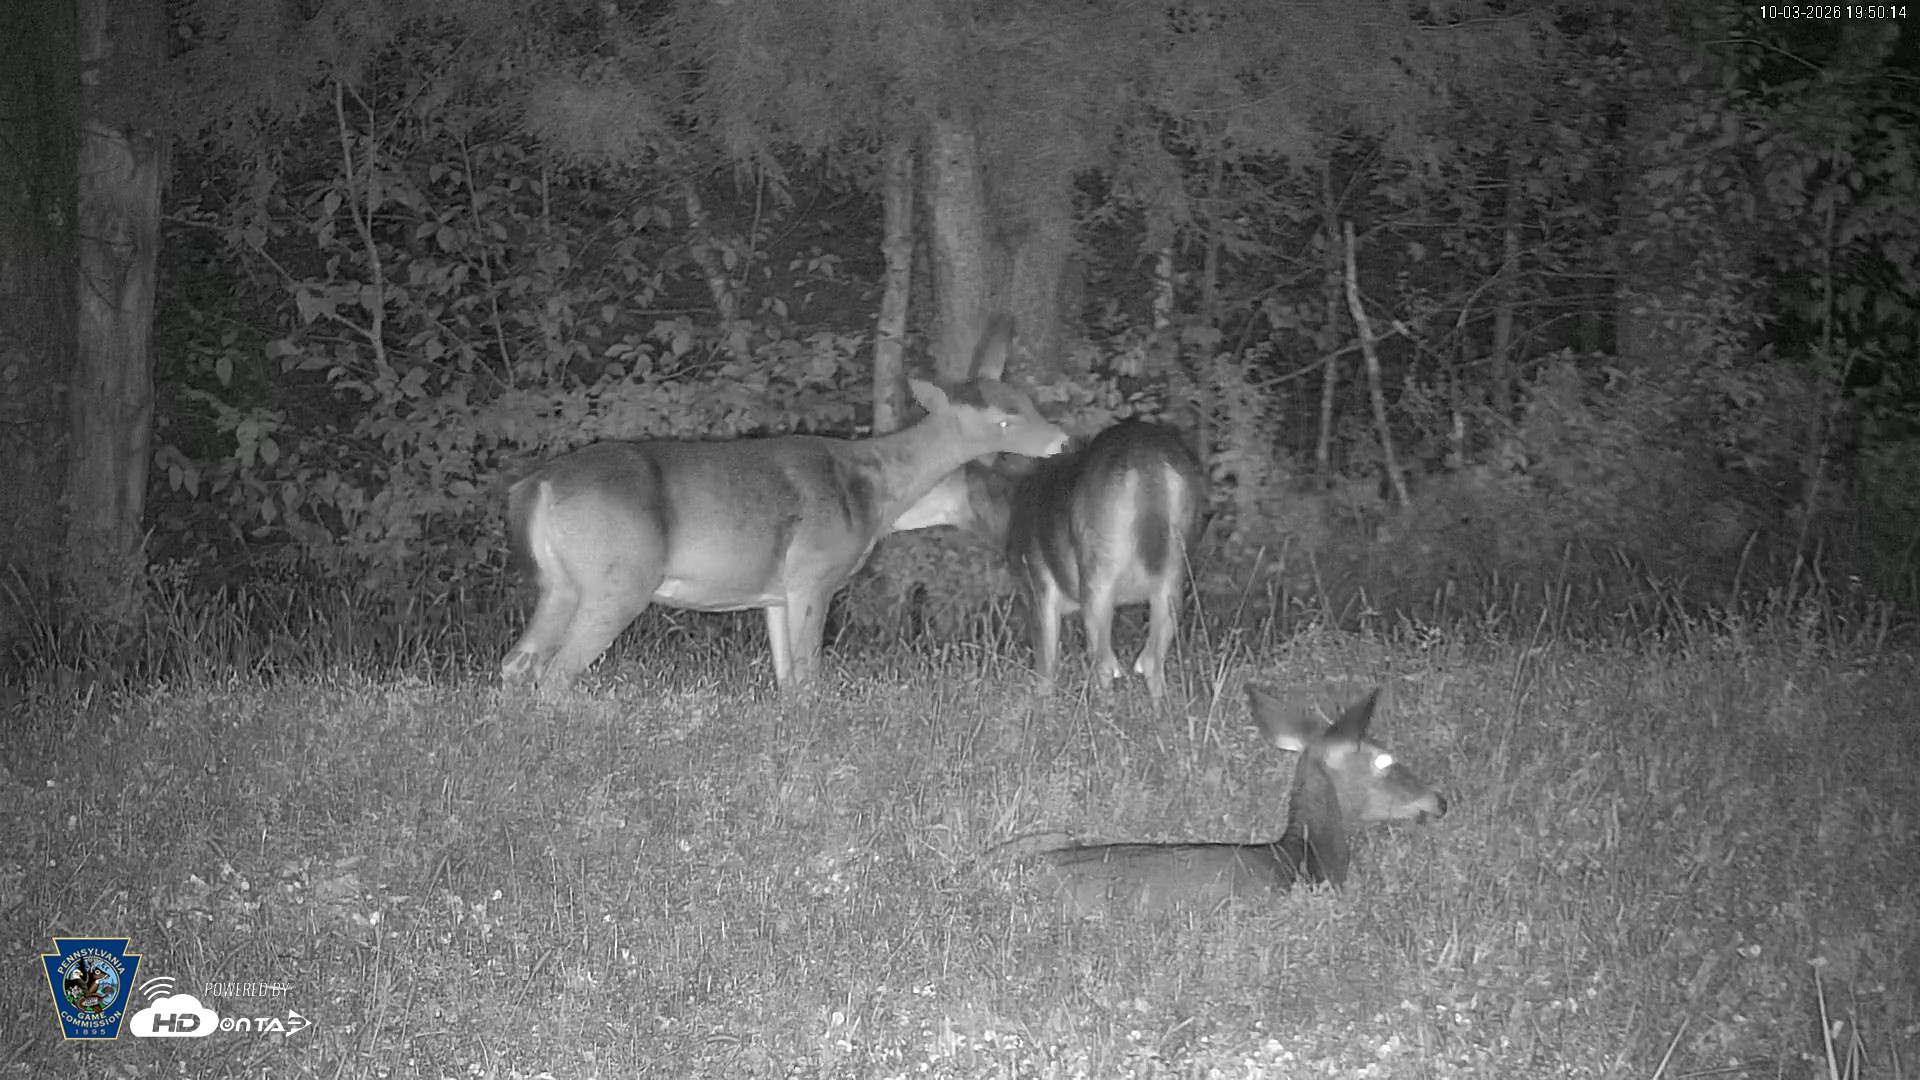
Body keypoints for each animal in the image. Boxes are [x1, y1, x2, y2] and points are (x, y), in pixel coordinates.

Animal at [501, 316, 1070, 691]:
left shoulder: (774, 593)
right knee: (554, 675)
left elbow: (786, 682)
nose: (1061, 439)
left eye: (1027, 401)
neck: (875, 491)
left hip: (559, 584)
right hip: (619, 578)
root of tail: (537, 485)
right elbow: (809, 679)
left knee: (515, 664)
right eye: (1004, 421)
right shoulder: (814, 573)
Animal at [891, 419, 1206, 699]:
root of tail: (1147, 461)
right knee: (1151, 659)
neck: (1006, 515)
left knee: (1107, 662)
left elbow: (1045, 670)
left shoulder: (1037, 582)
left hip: (1098, 570)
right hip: (1174, 570)